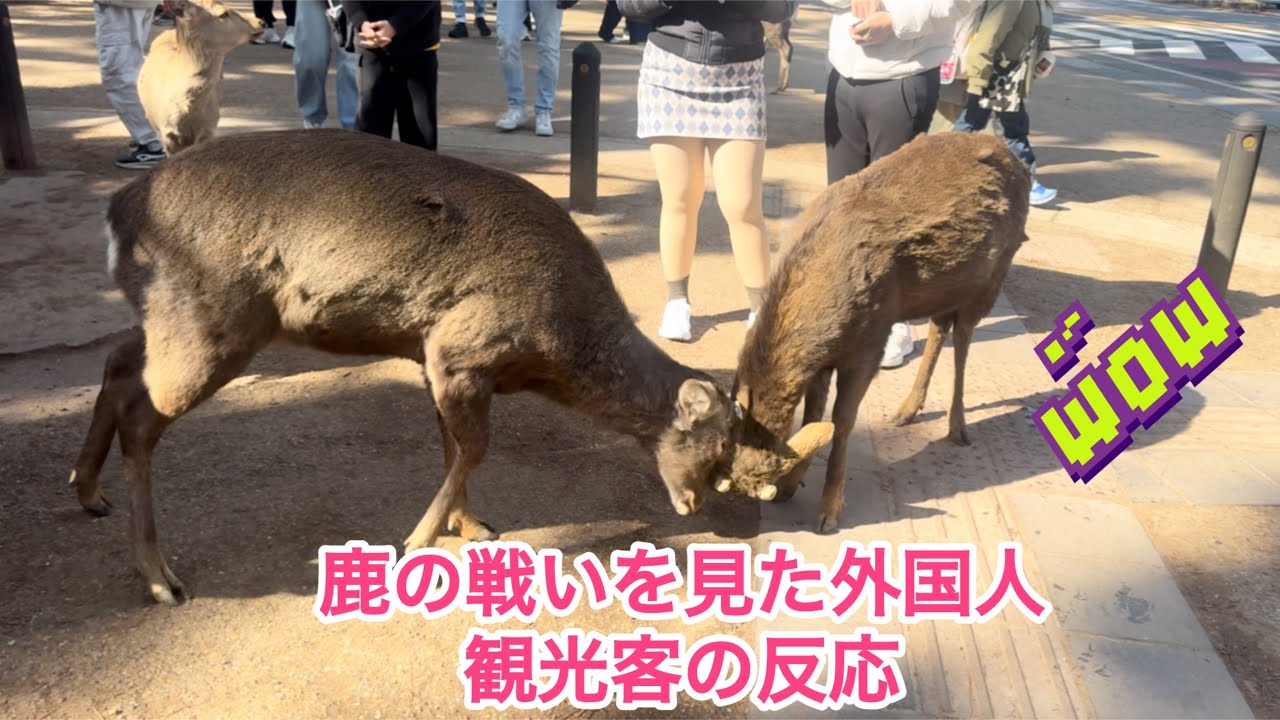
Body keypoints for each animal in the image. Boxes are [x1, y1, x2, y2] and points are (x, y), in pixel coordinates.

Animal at [69, 129, 739, 606]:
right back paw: (160, 577)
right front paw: (417, 542)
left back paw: (88, 491)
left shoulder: (434, 357)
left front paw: (470, 525)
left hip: (170, 321)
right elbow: (473, 448)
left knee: (118, 361)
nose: (696, 506)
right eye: (717, 445)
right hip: (210, 325)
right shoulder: (461, 347)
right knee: (140, 417)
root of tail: (118, 213)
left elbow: (452, 446)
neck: (556, 352)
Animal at [713, 132, 1032, 533]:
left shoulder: (869, 343)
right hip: (944, 289)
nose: (750, 487)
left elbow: (841, 421)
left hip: (992, 277)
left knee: (963, 337)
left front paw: (830, 510)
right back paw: (907, 410)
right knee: (939, 328)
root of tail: (1014, 158)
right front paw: (791, 486)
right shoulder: (824, 357)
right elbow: (814, 415)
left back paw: (957, 426)